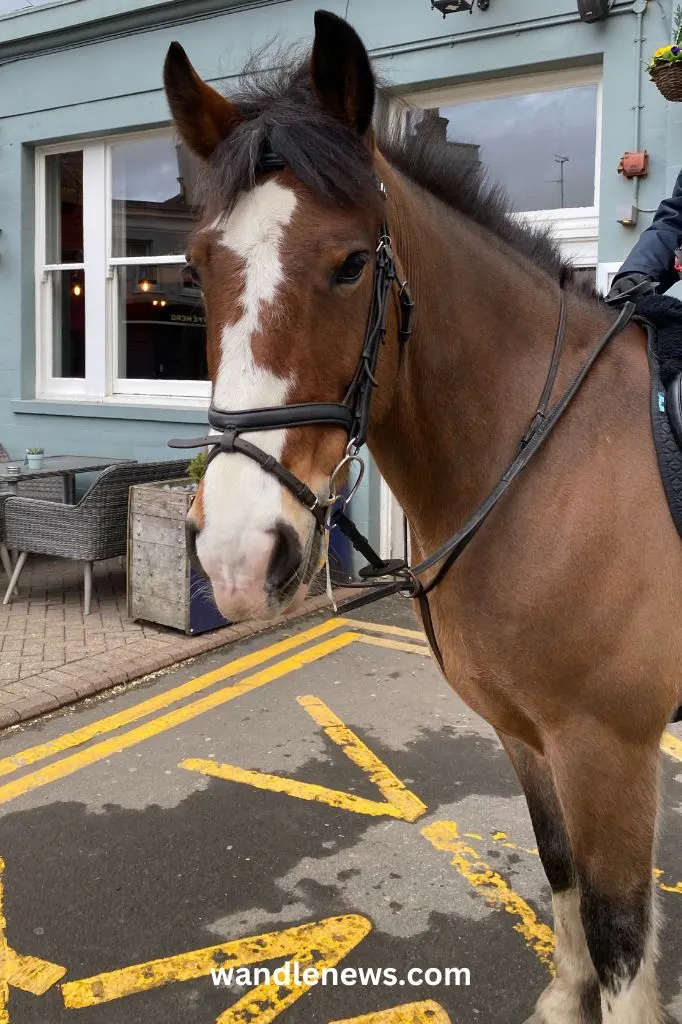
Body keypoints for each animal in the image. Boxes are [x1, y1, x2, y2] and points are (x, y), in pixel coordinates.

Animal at [163, 9, 679, 1024]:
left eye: (351, 263)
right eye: (197, 270)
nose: (238, 558)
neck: (547, 462)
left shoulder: (609, 751)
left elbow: (621, 938)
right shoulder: (527, 735)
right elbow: (560, 877)